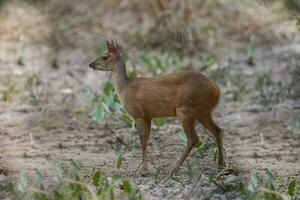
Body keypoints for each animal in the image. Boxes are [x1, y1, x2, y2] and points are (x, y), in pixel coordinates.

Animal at [88, 40, 224, 173]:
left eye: (105, 57)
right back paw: (221, 165)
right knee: (217, 130)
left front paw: (143, 170)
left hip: (186, 110)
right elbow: (147, 139)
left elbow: (142, 140)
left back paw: (174, 168)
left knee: (193, 138)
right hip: (203, 112)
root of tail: (216, 89)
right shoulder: (148, 116)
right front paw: (145, 167)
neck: (125, 89)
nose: (90, 64)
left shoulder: (137, 114)